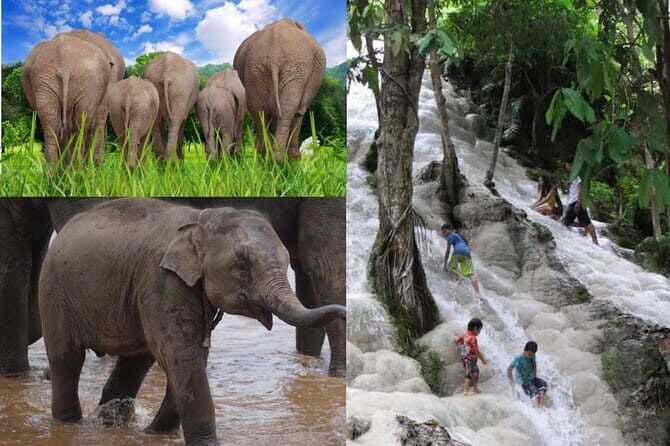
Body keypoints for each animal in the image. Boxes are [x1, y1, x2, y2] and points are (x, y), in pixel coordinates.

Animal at [21, 34, 111, 165]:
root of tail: (64, 61)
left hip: (44, 79)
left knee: (51, 121)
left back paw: (55, 170)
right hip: (84, 78)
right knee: (81, 122)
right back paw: (77, 168)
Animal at [38, 198, 346, 445]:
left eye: (284, 261)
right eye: (242, 266)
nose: (344, 311)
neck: (201, 221)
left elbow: (191, 355)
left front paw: (155, 433)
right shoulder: (160, 281)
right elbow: (182, 355)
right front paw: (205, 443)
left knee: (134, 362)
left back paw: (111, 424)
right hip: (54, 292)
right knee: (67, 359)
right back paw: (71, 423)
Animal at [234, 18, 326, 162]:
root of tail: (274, 57)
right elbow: (299, 111)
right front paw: (294, 158)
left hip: (256, 71)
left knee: (260, 110)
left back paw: (266, 158)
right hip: (295, 68)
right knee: (289, 109)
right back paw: (279, 159)